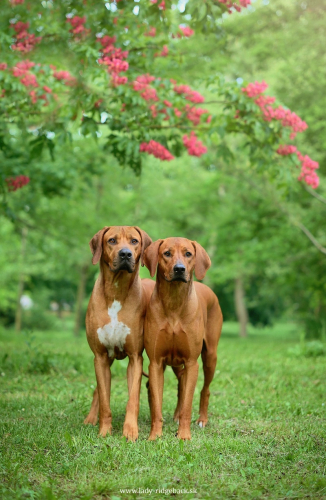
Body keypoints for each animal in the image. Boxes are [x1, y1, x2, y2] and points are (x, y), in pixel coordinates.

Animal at [84, 227, 155, 442]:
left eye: (134, 241)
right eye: (112, 241)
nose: (125, 254)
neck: (116, 290)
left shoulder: (135, 358)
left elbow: (133, 399)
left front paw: (130, 431)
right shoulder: (100, 357)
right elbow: (104, 399)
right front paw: (104, 430)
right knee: (98, 391)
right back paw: (90, 418)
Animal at [144, 236, 223, 440]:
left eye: (188, 253)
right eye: (166, 253)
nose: (179, 269)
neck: (174, 301)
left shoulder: (191, 362)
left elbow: (188, 403)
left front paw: (184, 435)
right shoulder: (156, 363)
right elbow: (156, 404)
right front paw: (155, 435)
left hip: (210, 356)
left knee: (205, 390)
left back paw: (201, 419)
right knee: (181, 382)